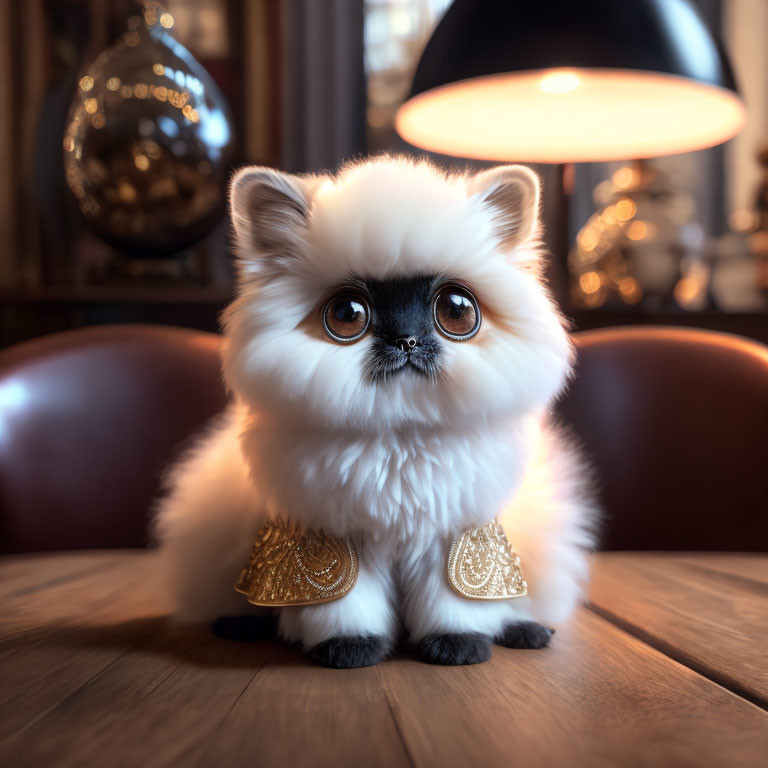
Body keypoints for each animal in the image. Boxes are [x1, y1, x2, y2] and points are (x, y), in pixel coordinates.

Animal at [154, 154, 600, 664]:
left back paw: (527, 630)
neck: (400, 434)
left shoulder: (451, 536)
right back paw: (241, 624)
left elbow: (456, 596)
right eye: (348, 314)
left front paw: (457, 646)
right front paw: (349, 649)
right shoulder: (330, 537)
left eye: (456, 311)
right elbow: (342, 599)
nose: (406, 339)